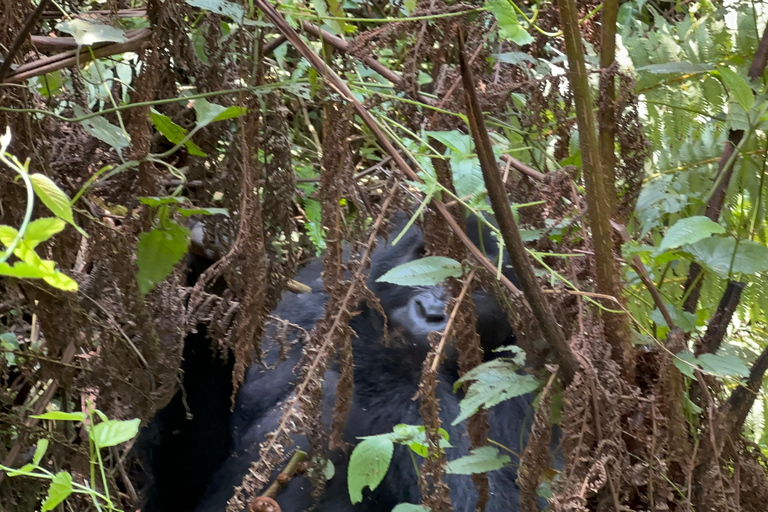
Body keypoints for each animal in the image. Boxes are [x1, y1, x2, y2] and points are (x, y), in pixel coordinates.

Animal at [136, 209, 544, 512]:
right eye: (427, 256)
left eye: (475, 287)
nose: (430, 312)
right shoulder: (327, 280)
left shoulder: (534, 378)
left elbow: (503, 497)